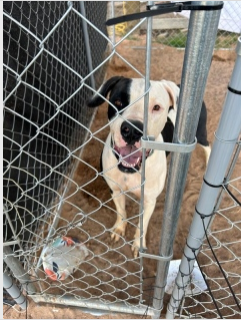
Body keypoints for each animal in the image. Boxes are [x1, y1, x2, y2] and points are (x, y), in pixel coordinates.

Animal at [87, 77, 211, 258]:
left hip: (200, 133)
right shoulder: (115, 190)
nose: (132, 130)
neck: (132, 171)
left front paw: (138, 244)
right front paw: (119, 228)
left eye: (156, 107)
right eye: (118, 101)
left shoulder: (150, 201)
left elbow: (142, 225)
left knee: (208, 146)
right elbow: (121, 212)